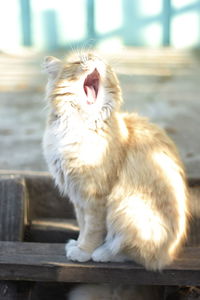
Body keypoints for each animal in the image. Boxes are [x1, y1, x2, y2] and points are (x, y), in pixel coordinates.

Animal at [42, 52, 189, 270]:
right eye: (78, 61)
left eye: (101, 61)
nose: (93, 58)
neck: (79, 124)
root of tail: (170, 253)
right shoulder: (77, 195)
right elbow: (82, 224)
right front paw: (77, 244)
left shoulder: (94, 194)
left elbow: (92, 230)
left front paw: (83, 251)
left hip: (127, 208)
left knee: (139, 255)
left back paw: (103, 253)